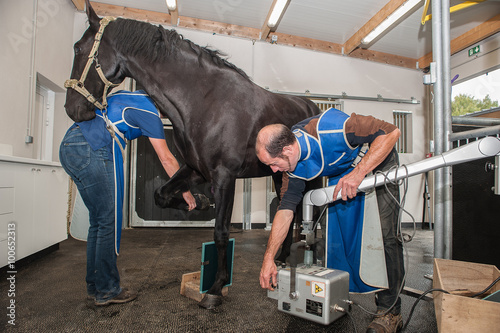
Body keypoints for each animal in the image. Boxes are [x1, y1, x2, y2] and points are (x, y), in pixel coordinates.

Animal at [64, 0, 318, 308]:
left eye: (78, 48)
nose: (72, 109)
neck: (205, 101)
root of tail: (313, 107)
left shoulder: (224, 176)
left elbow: (220, 232)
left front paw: (216, 288)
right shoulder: (196, 170)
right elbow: (160, 195)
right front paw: (197, 202)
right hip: (279, 174)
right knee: (287, 209)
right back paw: (280, 257)